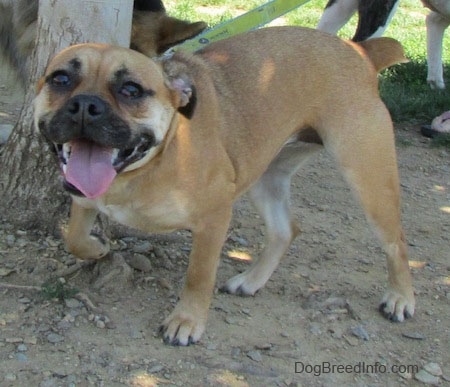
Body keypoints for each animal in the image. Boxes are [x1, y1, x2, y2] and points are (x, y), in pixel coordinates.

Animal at [34, 28, 414, 348]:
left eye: (131, 90)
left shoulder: (214, 218)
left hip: (368, 179)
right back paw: (252, 281)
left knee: (396, 242)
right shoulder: (84, 198)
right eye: (60, 79)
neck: (153, 161)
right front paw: (96, 248)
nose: (86, 105)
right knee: (285, 230)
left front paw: (186, 321)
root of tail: (359, 50)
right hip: (266, 178)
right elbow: (75, 238)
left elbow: (199, 275)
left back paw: (400, 298)